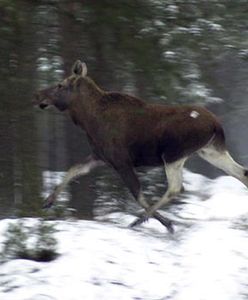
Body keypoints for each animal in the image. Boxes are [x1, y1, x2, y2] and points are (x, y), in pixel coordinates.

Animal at [34, 59, 248, 232]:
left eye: (60, 85)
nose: (38, 95)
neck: (88, 120)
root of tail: (216, 125)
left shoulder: (121, 161)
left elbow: (137, 194)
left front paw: (165, 222)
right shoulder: (100, 156)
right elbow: (73, 170)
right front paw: (48, 201)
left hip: (173, 154)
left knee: (176, 188)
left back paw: (140, 220)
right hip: (210, 150)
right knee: (241, 173)